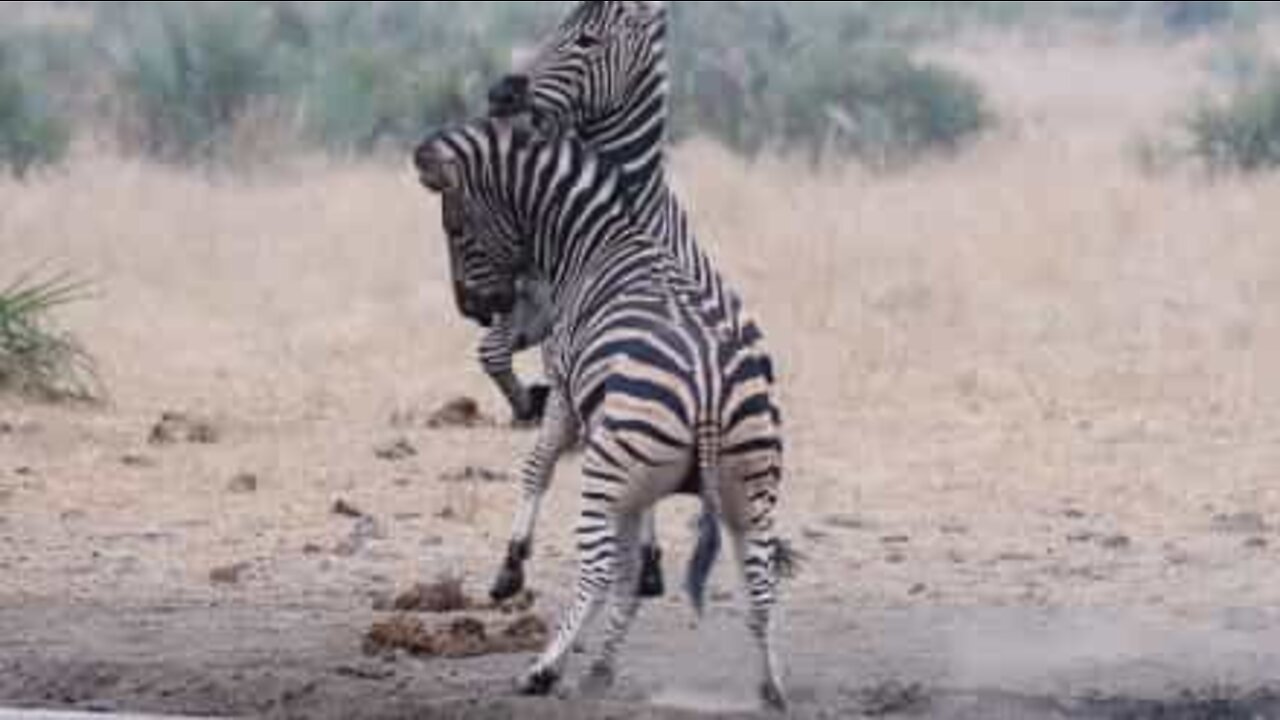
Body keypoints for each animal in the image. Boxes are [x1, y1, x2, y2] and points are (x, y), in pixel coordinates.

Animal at [414, 113, 783, 707]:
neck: (594, 242)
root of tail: (707, 386)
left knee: (598, 568)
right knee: (760, 580)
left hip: (609, 470)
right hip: (750, 480)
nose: (471, 309)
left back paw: (544, 669)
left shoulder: (567, 388)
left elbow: (536, 466)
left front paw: (511, 566)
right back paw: (769, 686)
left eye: (455, 227)